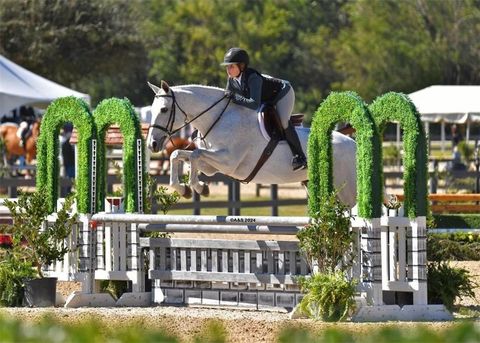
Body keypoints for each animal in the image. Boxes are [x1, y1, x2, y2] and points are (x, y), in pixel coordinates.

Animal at [146, 81, 356, 207]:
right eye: (152, 109)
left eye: (164, 110)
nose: (152, 144)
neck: (218, 118)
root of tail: (352, 143)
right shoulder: (212, 166)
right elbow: (179, 155)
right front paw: (187, 189)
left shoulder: (228, 162)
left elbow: (195, 155)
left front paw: (198, 188)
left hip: (347, 190)